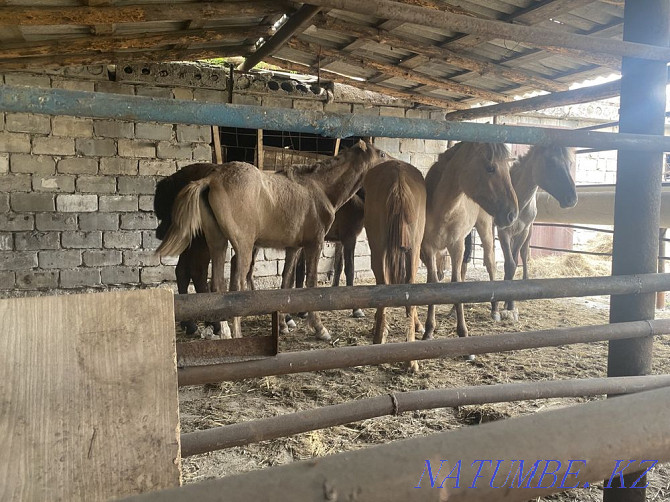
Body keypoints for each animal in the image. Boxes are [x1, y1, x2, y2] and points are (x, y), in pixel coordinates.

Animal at [158, 139, 388, 340]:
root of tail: (211, 179)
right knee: (235, 284)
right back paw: (234, 333)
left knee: (216, 284)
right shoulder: (315, 243)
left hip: (217, 243)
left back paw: (222, 331)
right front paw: (319, 328)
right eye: (382, 154)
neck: (319, 188)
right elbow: (311, 282)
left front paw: (284, 324)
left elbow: (286, 282)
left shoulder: (294, 248)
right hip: (243, 247)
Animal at [422, 141, 524, 354]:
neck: (443, 208)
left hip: (484, 230)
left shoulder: (457, 245)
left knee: (490, 264)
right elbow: (434, 282)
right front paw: (429, 330)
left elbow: (456, 284)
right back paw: (453, 311)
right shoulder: (429, 249)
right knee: (463, 269)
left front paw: (463, 333)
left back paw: (494, 310)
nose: (512, 214)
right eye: (490, 168)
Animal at [476, 143, 580, 320]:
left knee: (524, 254)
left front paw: (510, 304)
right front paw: (503, 305)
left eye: (570, 163)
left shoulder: (523, 231)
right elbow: (510, 264)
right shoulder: (504, 232)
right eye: (550, 162)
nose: (571, 199)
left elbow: (516, 261)